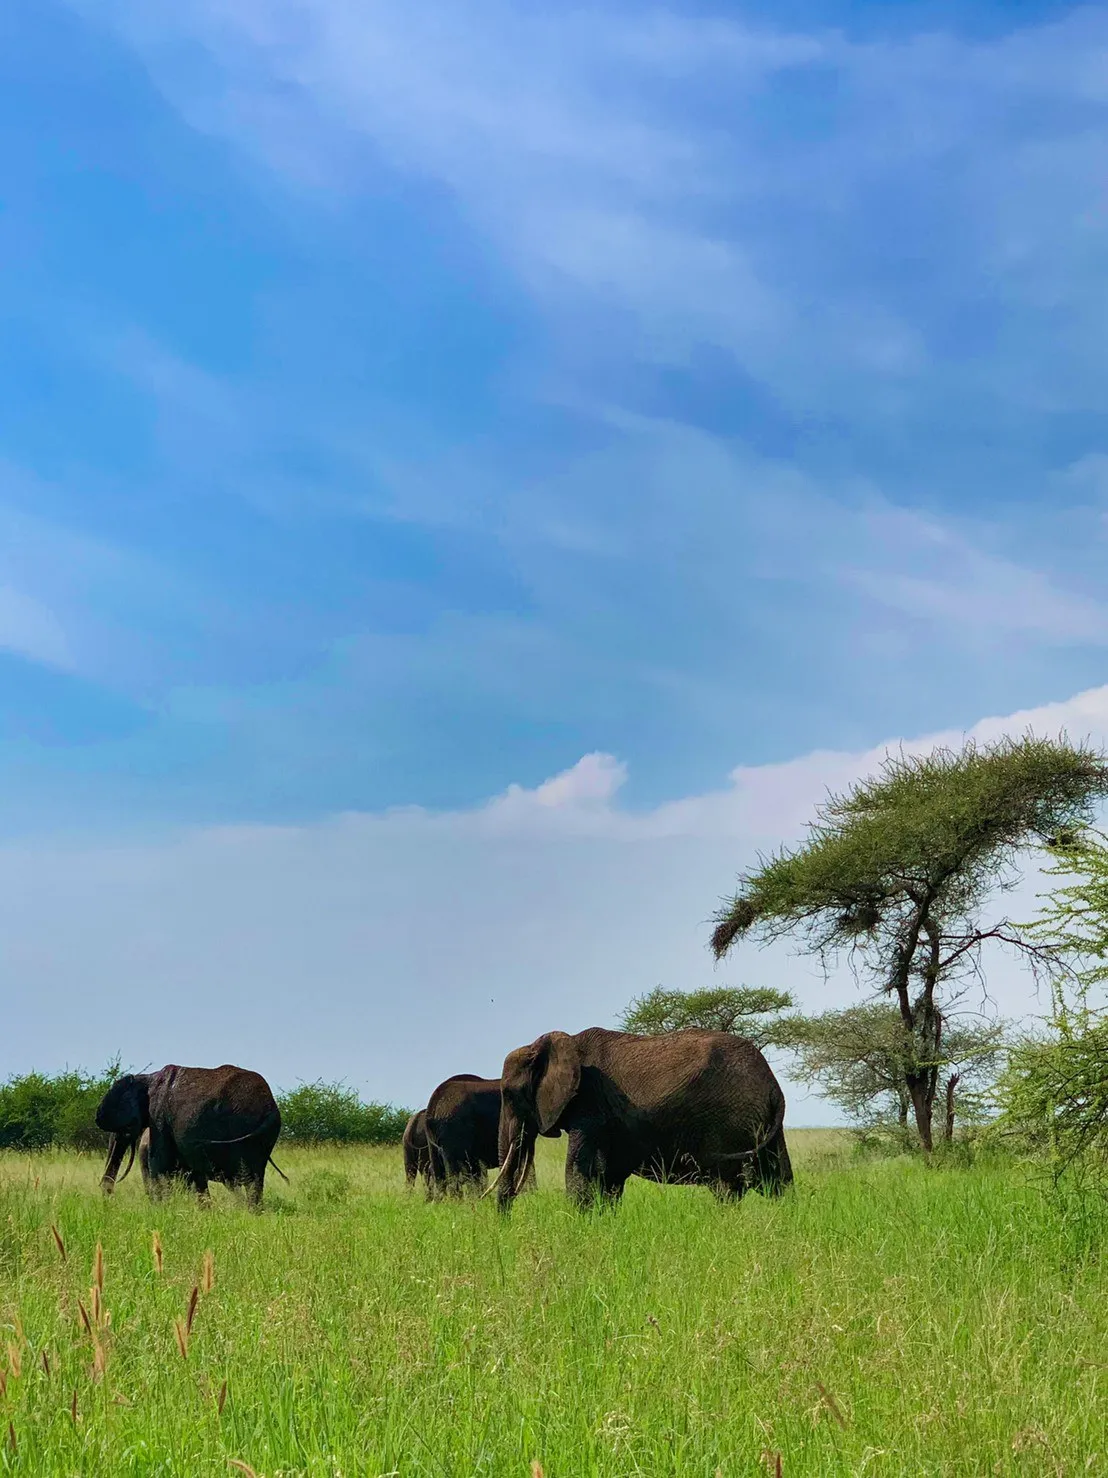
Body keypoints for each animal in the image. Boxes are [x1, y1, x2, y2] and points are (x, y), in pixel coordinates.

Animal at [96, 1064, 285, 1207]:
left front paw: (162, 1208)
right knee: (254, 1177)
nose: (108, 1197)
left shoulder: (158, 1114)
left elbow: (158, 1162)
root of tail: (269, 1109)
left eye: (127, 1127)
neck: (146, 1078)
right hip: (261, 1137)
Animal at [496, 1027, 791, 1211]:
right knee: (778, 1179)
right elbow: (609, 1178)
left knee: (727, 1187)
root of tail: (773, 1085)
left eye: (509, 1094)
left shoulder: (589, 1102)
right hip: (761, 1124)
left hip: (730, 1122)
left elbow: (579, 1171)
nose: (505, 1226)